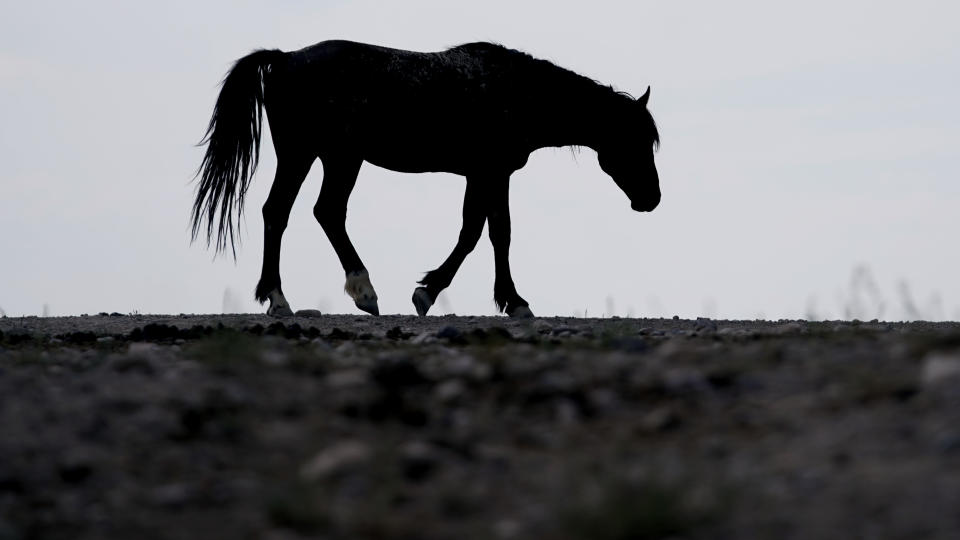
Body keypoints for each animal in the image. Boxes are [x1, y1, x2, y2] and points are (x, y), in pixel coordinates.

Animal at [195, 40, 660, 318]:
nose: (651, 199)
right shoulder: (490, 172)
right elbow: (484, 234)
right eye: (634, 139)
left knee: (299, 212)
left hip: (323, 157)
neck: (514, 92)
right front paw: (452, 294)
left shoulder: (487, 176)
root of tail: (285, 57)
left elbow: (488, 232)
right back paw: (337, 293)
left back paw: (302, 296)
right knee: (306, 212)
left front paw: (492, 297)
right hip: (322, 157)